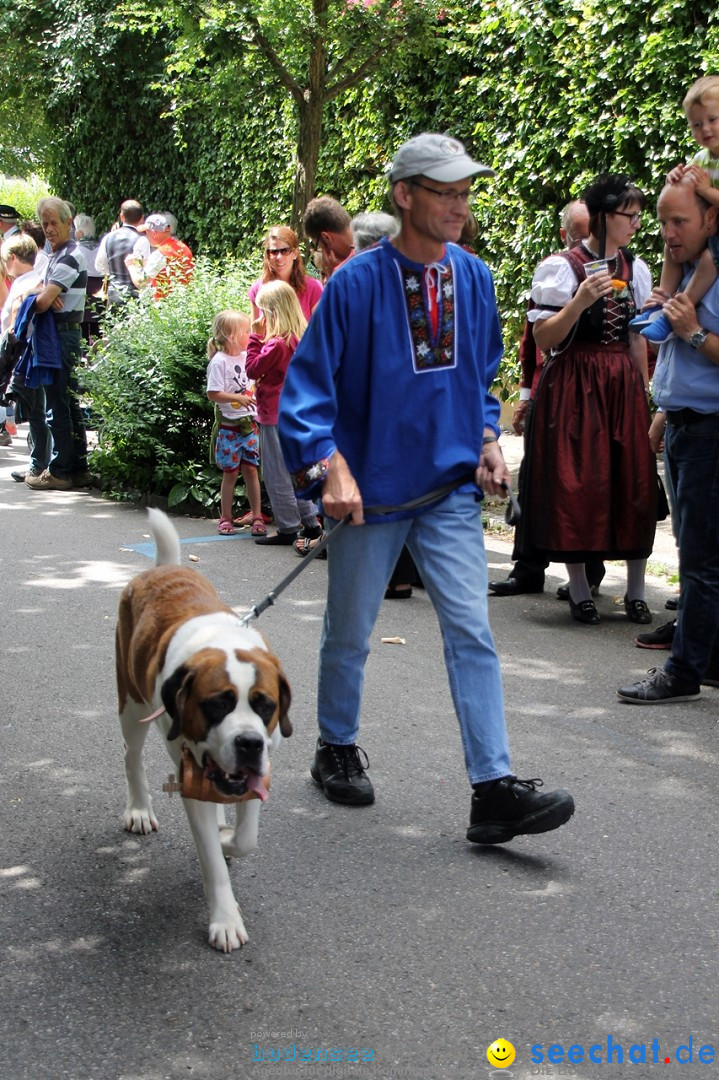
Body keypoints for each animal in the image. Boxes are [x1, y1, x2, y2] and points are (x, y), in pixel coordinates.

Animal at [116, 509, 289, 950]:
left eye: (265, 706)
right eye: (217, 705)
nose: (248, 743)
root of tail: (163, 568)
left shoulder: (260, 768)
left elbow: (246, 837)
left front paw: (229, 836)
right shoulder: (190, 774)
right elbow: (211, 857)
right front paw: (225, 919)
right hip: (132, 704)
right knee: (131, 756)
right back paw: (139, 809)